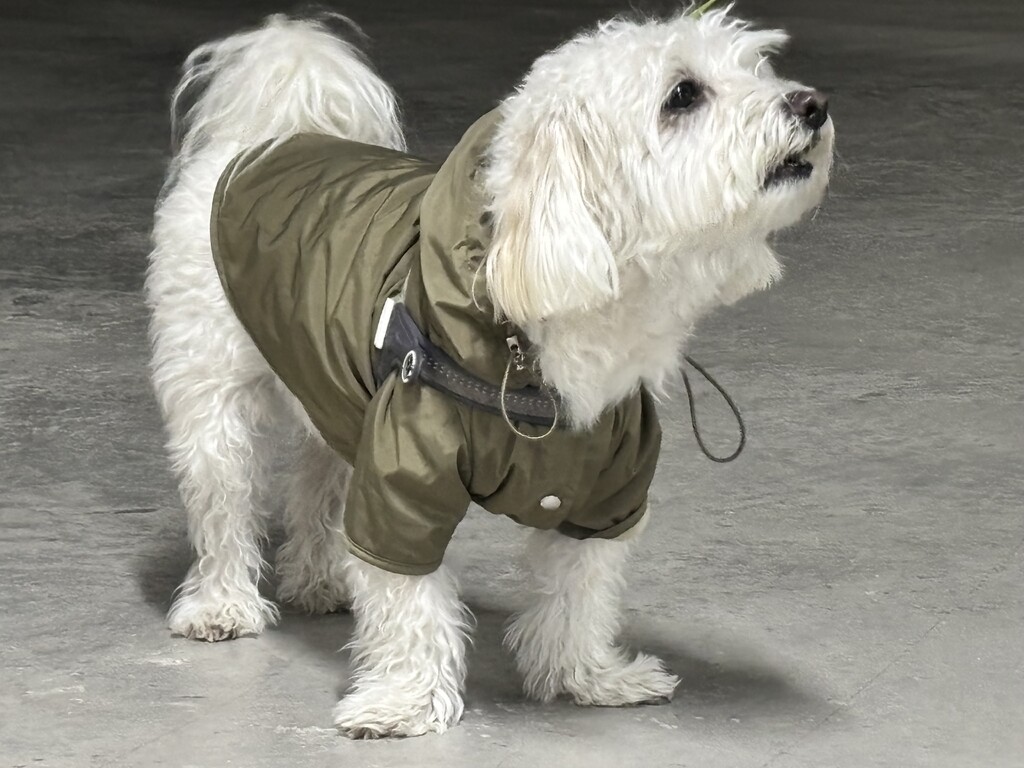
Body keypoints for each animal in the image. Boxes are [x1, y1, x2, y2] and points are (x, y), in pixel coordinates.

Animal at [146, 7, 834, 738]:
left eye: (756, 68)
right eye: (682, 95)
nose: (812, 104)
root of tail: (261, 140)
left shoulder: (607, 488)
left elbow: (579, 591)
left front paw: (584, 675)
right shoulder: (403, 475)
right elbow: (408, 596)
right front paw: (406, 701)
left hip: (328, 390)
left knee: (317, 487)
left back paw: (317, 579)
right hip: (212, 404)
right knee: (223, 505)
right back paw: (221, 605)